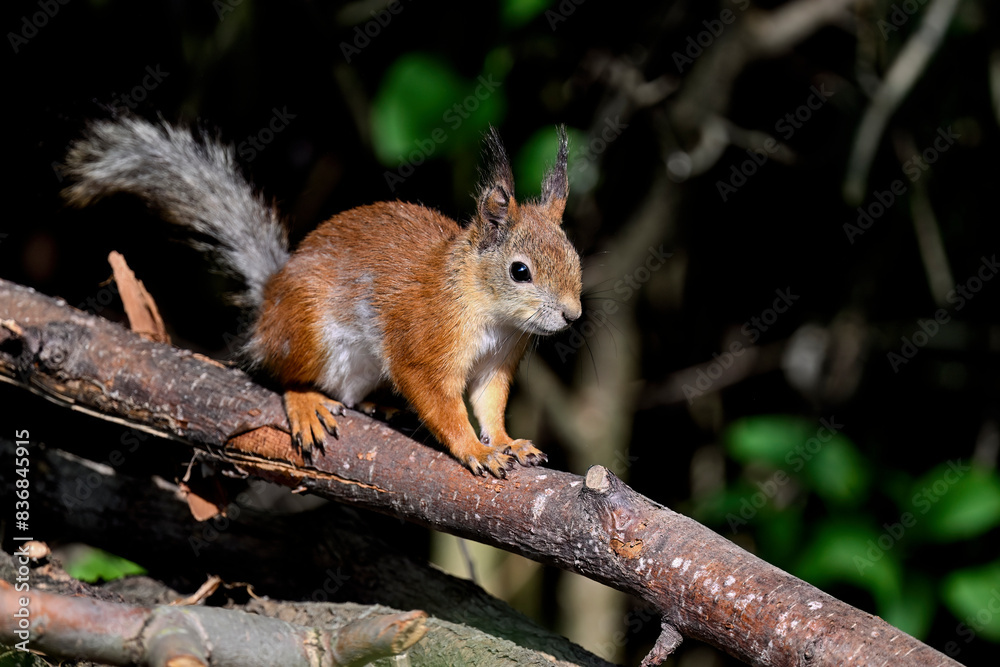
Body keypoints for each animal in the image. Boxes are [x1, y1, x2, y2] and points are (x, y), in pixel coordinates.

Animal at [62, 117, 583, 478]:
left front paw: (508, 442)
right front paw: (475, 450)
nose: (572, 315)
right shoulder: (425, 342)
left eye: (576, 259)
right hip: (308, 331)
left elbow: (489, 405)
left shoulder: (497, 362)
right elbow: (441, 403)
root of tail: (270, 302)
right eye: (520, 271)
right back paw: (305, 402)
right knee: (282, 373)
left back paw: (377, 405)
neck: (487, 308)